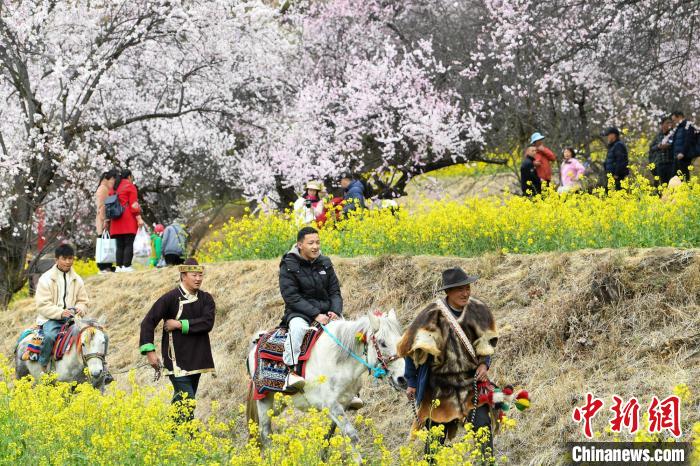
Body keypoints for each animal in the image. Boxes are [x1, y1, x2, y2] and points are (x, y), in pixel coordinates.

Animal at [246, 310, 407, 451]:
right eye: (382, 343)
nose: (403, 379)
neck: (339, 361)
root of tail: (256, 342)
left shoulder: (342, 404)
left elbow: (332, 435)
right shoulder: (331, 405)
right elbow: (352, 436)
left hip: (279, 404)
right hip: (265, 399)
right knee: (265, 433)